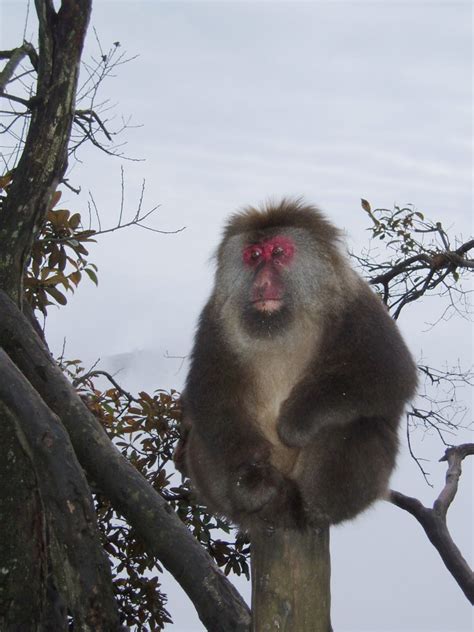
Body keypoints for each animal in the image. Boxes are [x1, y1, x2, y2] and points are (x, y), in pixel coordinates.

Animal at [179, 200, 418, 532]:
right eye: (253, 256)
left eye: (279, 252)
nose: (262, 282)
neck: (278, 322)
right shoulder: (215, 319)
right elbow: (207, 390)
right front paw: (250, 459)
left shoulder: (357, 303)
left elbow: (391, 373)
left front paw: (296, 422)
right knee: (202, 435)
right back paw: (254, 489)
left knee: (362, 425)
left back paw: (305, 507)